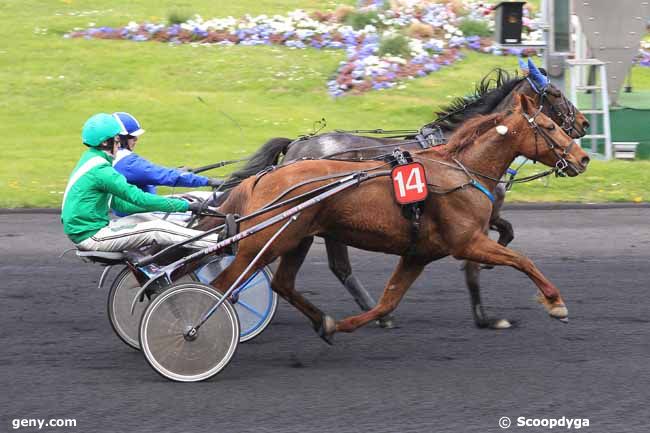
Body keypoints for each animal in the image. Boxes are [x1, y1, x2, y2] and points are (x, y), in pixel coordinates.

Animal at [209, 95, 588, 340]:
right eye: (550, 123)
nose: (582, 157)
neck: (459, 170)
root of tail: (270, 173)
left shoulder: (419, 253)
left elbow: (389, 299)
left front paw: (348, 324)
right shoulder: (468, 241)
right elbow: (520, 260)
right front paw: (554, 304)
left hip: (297, 238)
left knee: (284, 283)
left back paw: (324, 321)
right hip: (268, 240)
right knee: (228, 283)